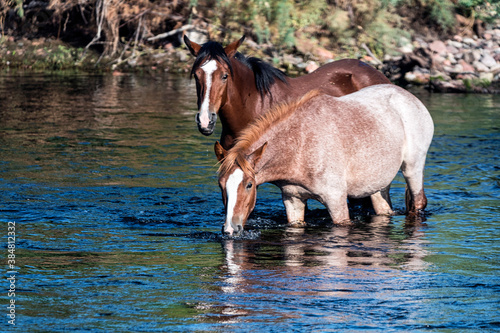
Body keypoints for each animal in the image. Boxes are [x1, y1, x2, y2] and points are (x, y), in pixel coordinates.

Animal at [215, 85, 434, 236]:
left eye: (249, 185)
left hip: (412, 168)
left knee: (418, 201)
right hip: (378, 184)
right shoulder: (293, 200)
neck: (299, 144)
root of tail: (409, 97)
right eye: (221, 185)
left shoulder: (336, 201)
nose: (231, 228)